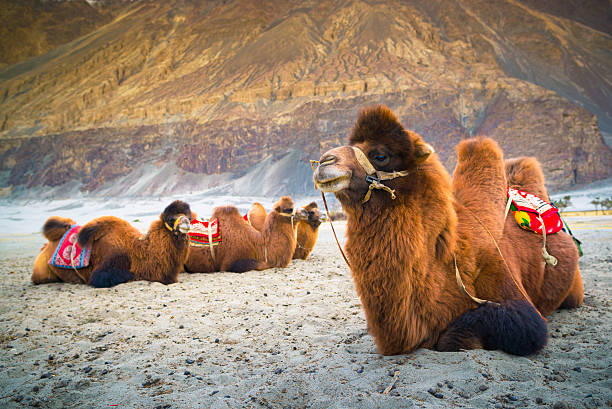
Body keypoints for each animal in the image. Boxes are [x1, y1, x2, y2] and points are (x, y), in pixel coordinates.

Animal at [31, 199, 192, 286]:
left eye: (189, 217)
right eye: (171, 219)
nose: (186, 223)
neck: (137, 252)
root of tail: (47, 246)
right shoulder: (106, 268)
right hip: (43, 273)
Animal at [314, 104, 580, 354]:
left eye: (380, 155)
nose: (324, 161)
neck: (449, 257)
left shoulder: (513, 294)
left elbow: (458, 337)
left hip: (573, 290)